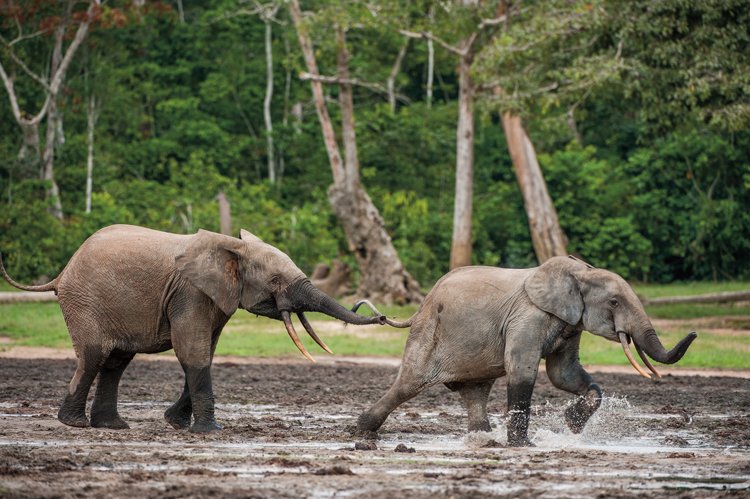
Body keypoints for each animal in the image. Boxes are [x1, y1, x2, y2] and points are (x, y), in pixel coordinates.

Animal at [1, 226, 388, 434]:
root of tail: (61, 274)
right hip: (85, 301)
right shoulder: (190, 292)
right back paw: (74, 425)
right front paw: (210, 432)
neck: (233, 247)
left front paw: (175, 423)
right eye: (276, 281)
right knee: (95, 355)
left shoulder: (215, 297)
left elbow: (205, 352)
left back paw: (112, 426)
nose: (381, 316)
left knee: (116, 362)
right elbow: (193, 350)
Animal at [356, 256, 700, 448]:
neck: (580, 273)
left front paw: (572, 425)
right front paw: (525, 445)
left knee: (475, 392)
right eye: (614, 302)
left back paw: (484, 440)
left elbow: (563, 373)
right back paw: (362, 429)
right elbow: (522, 369)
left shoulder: (570, 322)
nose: (695, 333)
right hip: (428, 334)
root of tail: (420, 306)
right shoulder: (528, 315)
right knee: (408, 384)